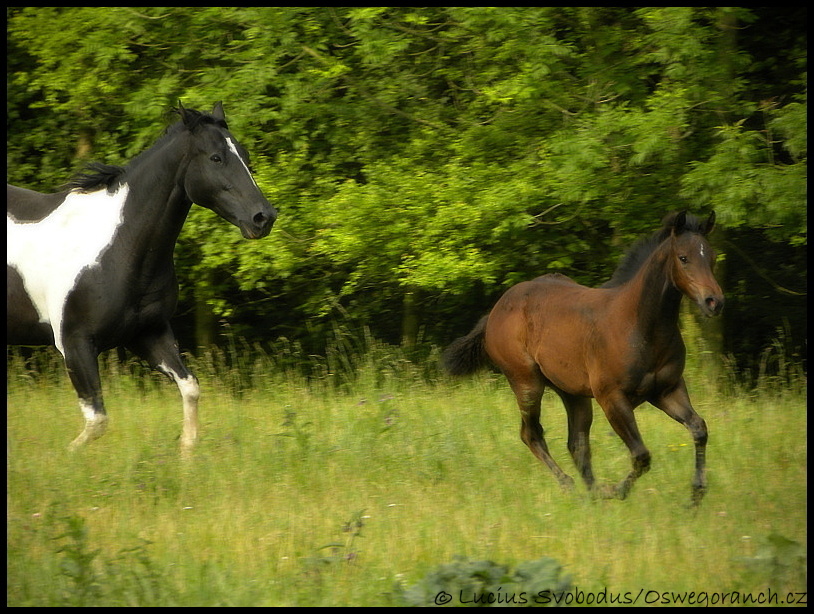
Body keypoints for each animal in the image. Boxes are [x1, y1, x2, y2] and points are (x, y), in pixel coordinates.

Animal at [7, 102, 278, 452]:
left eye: (244, 154)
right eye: (216, 157)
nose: (263, 217)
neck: (117, 247)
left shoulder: (148, 333)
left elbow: (191, 387)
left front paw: (186, 451)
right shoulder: (74, 342)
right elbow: (97, 420)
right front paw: (65, 456)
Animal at [446, 212, 728, 506]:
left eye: (712, 257)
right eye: (683, 258)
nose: (714, 302)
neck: (639, 325)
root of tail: (495, 311)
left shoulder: (667, 390)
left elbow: (699, 429)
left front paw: (696, 494)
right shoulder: (611, 398)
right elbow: (641, 455)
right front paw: (615, 492)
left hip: (573, 394)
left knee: (577, 443)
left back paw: (590, 495)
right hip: (526, 383)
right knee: (531, 434)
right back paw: (571, 487)